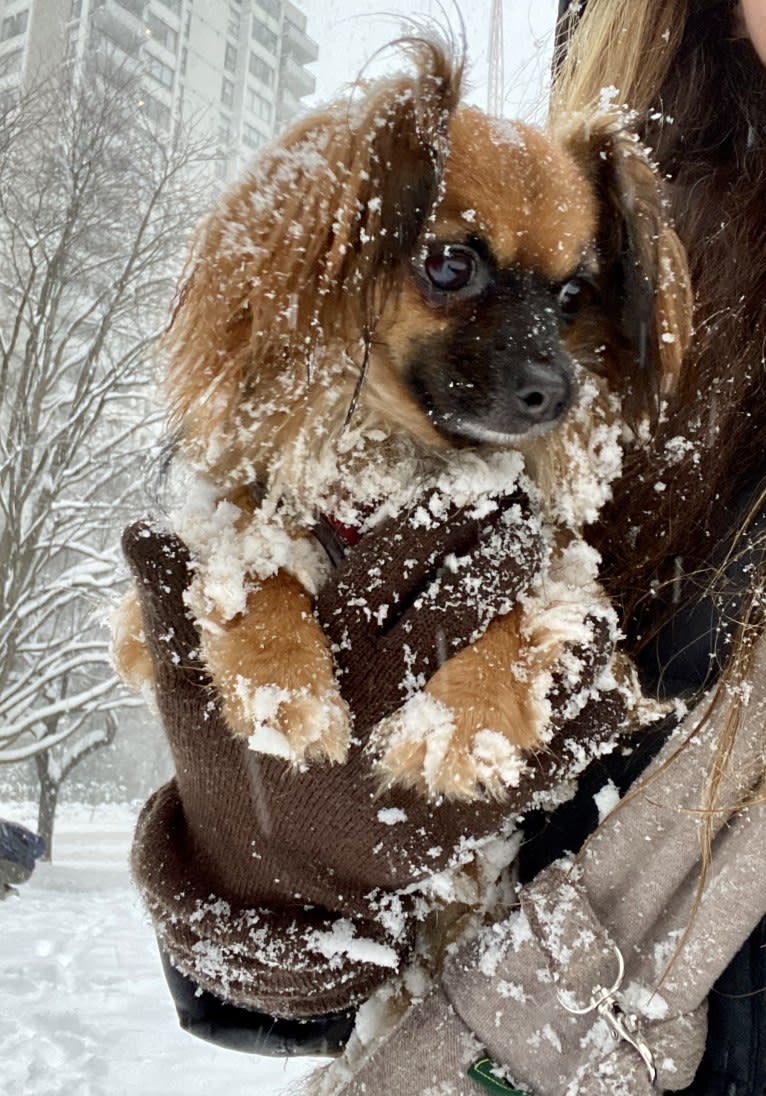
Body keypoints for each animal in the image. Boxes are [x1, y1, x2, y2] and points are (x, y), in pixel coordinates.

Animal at [115, 38, 696, 802]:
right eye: (451, 265)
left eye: (573, 295)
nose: (554, 390)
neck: (396, 460)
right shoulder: (211, 551)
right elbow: (253, 559)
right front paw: (283, 683)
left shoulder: (563, 579)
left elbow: (521, 616)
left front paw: (460, 725)